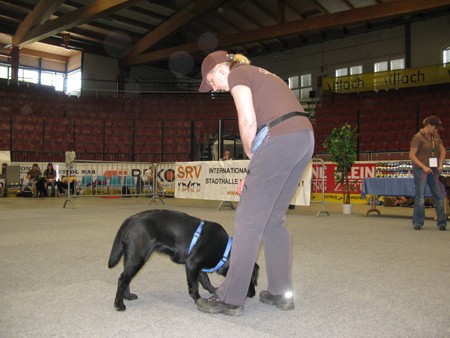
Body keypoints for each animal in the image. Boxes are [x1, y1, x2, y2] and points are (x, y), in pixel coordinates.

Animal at [107, 209, 258, 312]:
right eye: (248, 280)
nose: (253, 294)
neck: (225, 251)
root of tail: (132, 218)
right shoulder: (192, 264)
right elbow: (194, 286)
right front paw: (198, 300)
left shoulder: (199, 267)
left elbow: (206, 281)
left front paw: (214, 291)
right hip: (138, 256)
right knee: (123, 279)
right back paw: (119, 304)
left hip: (131, 256)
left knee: (126, 277)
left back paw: (128, 296)